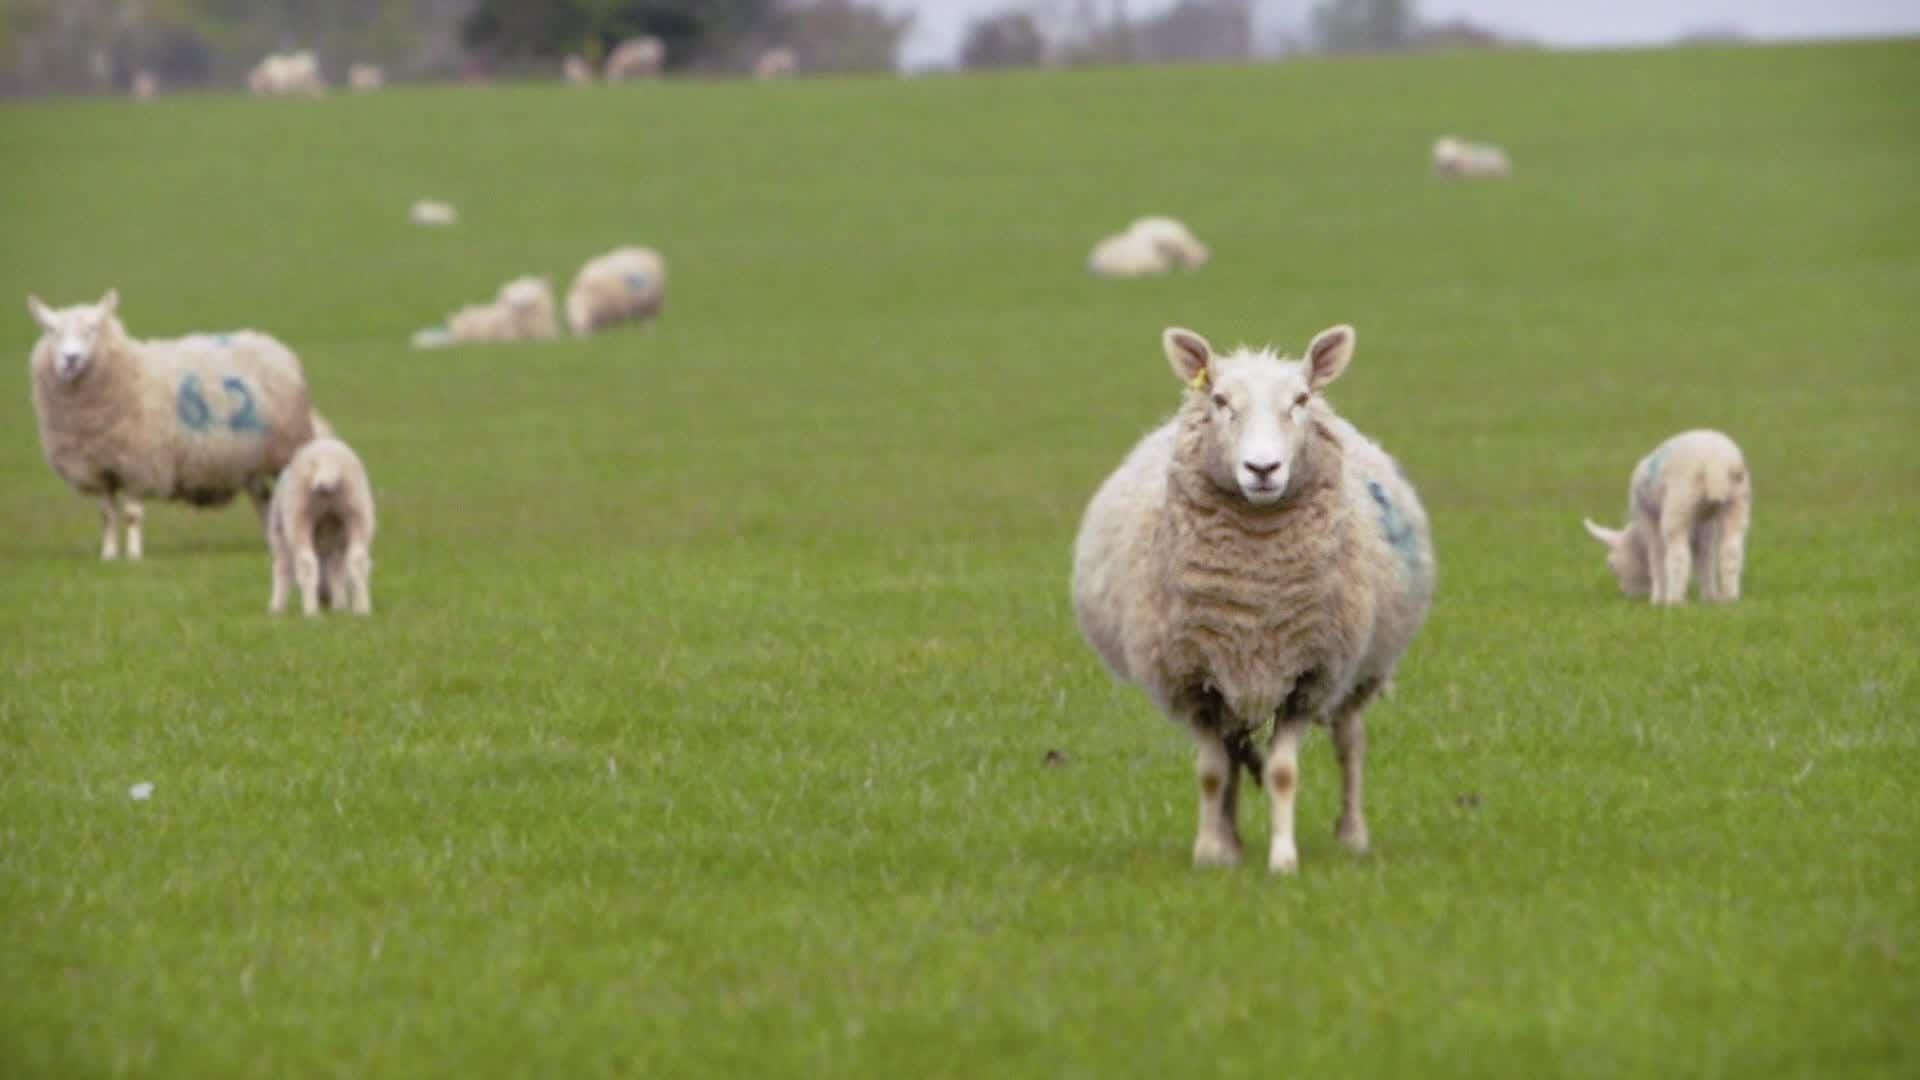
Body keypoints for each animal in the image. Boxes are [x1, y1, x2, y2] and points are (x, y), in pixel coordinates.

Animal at [27, 290, 322, 557]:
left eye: (93, 329)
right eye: (52, 331)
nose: (70, 359)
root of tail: (268, 342)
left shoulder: (138, 464)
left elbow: (131, 514)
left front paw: (133, 556)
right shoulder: (98, 469)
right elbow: (107, 515)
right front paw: (108, 555)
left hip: (283, 450)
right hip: (248, 458)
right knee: (263, 498)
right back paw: (271, 543)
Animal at [268, 434, 376, 614]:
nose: (324, 599)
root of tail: (326, 460)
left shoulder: (280, 538)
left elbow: (283, 569)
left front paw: (277, 608)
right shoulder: (338, 542)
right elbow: (337, 571)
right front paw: (340, 606)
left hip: (299, 516)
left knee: (304, 564)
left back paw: (309, 611)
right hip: (357, 510)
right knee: (358, 560)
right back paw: (362, 609)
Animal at [1075, 320, 1436, 876]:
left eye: (1301, 399)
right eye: (1221, 400)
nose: (1262, 469)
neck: (1256, 595)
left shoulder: (1309, 676)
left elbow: (1284, 772)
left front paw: (1283, 858)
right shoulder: (1196, 679)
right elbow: (1210, 771)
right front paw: (1210, 852)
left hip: (1360, 669)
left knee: (1350, 741)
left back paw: (1352, 833)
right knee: (1233, 752)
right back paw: (1232, 837)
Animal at [1582, 428, 1751, 607]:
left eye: (1612, 566)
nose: (1628, 594)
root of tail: (1715, 464)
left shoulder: (1648, 518)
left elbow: (1656, 555)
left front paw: (1657, 599)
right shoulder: (1705, 526)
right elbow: (1705, 558)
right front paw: (1709, 597)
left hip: (1679, 502)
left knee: (1678, 556)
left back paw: (1674, 600)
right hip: (1738, 500)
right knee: (1731, 551)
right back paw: (1730, 598)